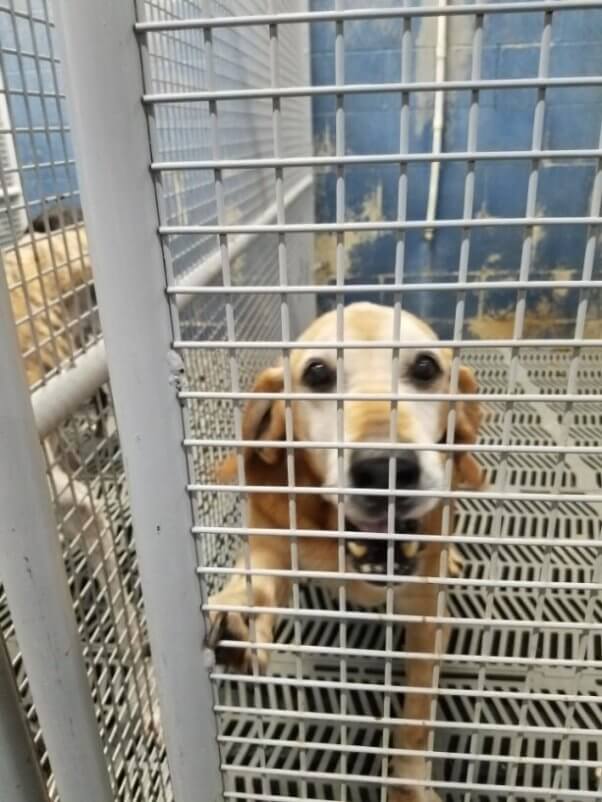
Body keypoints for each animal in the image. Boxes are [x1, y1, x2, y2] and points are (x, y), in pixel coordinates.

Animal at [207, 302, 482, 800]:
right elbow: (257, 582)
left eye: (426, 367)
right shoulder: (272, 541)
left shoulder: (427, 621)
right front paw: (240, 614)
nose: (383, 468)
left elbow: (415, 722)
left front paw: (407, 782)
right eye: (317, 373)